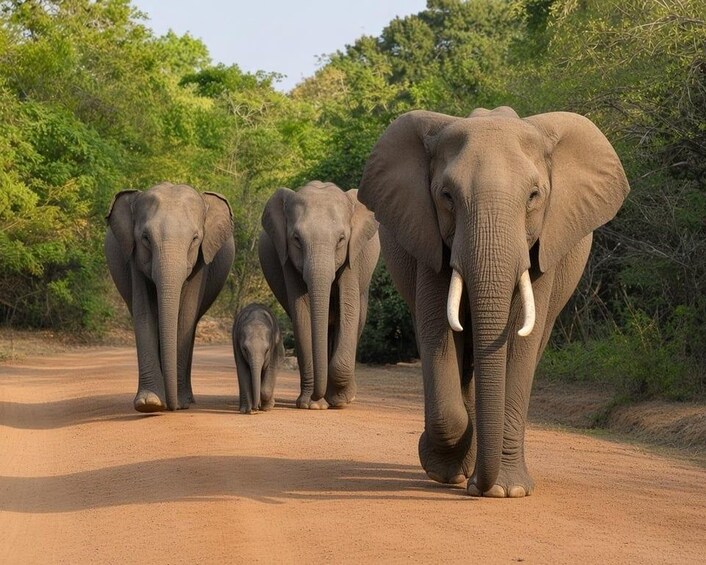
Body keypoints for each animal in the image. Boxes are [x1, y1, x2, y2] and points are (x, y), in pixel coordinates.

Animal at [105, 182, 235, 412]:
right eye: (145, 238)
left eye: (195, 239)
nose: (172, 407)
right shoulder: (134, 259)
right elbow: (144, 313)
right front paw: (149, 403)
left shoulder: (202, 261)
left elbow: (185, 317)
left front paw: (180, 402)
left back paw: (187, 399)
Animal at [258, 180, 380, 409]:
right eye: (297, 239)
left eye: (341, 239)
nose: (317, 398)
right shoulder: (287, 258)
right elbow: (302, 314)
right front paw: (311, 405)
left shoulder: (354, 257)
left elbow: (348, 309)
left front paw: (341, 400)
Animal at [358, 107, 629, 497]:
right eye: (447, 196)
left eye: (533, 195)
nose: (480, 488)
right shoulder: (430, 238)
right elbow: (439, 329)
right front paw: (450, 466)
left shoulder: (543, 247)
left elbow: (520, 342)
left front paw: (507, 491)